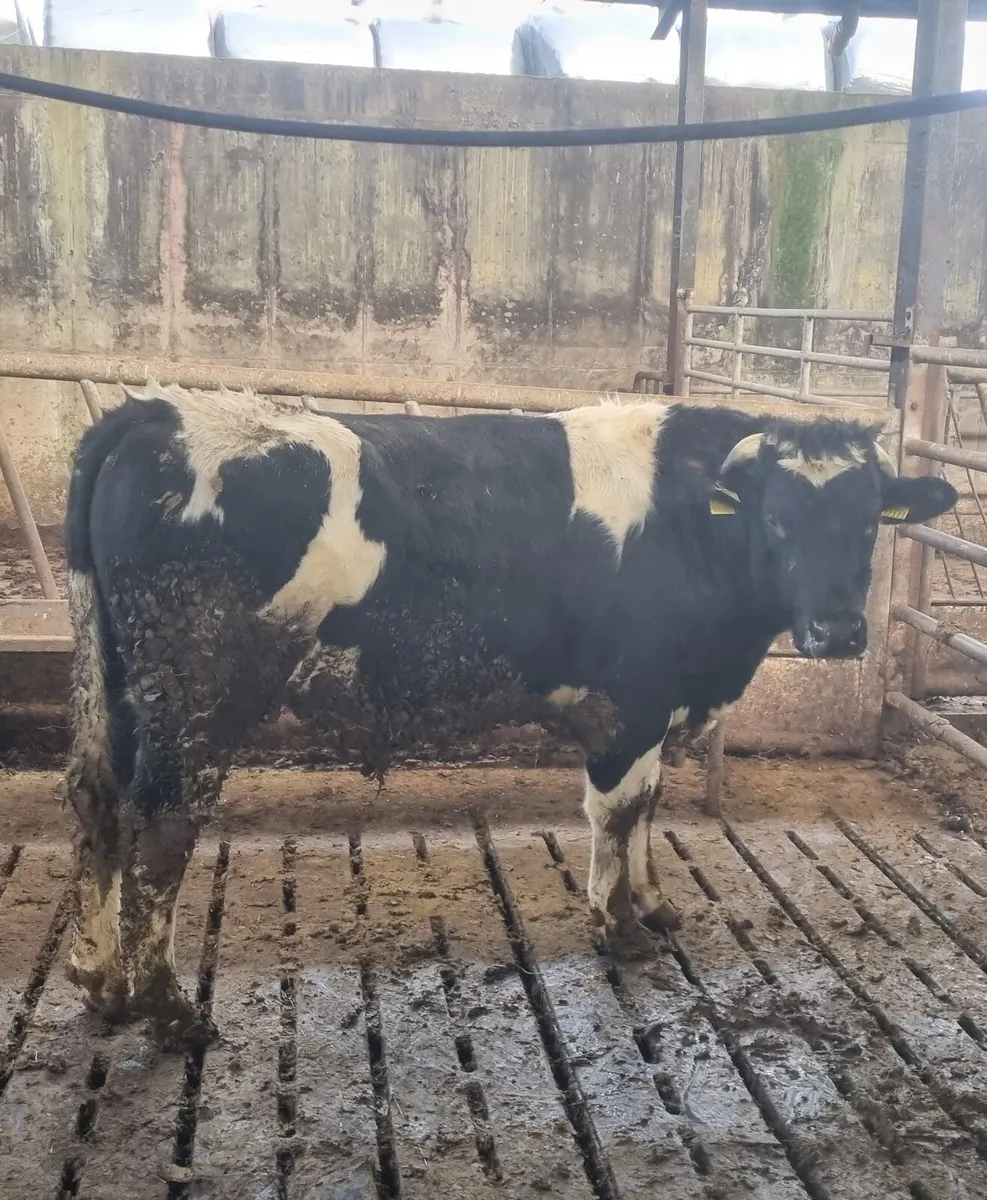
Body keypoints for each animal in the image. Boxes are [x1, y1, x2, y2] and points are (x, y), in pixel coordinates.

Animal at [62, 382, 955, 1047]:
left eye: (868, 522)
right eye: (776, 518)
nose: (837, 631)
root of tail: (157, 410)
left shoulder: (660, 702)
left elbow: (649, 807)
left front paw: (653, 902)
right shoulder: (631, 696)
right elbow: (619, 810)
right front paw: (620, 927)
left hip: (114, 686)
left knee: (97, 803)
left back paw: (103, 981)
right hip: (196, 693)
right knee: (162, 830)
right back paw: (171, 1012)